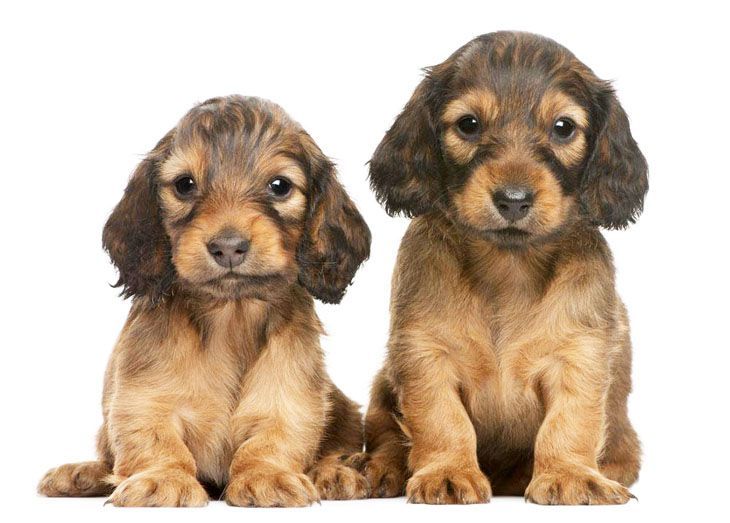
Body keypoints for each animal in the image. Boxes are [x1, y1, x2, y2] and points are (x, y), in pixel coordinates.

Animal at [37, 95, 370, 508]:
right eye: (184, 184)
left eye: (280, 186)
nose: (228, 246)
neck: (229, 317)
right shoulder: (141, 397)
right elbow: (154, 440)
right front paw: (162, 479)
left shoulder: (290, 398)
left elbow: (273, 440)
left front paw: (267, 476)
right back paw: (80, 473)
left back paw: (334, 473)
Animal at [356, 30, 644, 506]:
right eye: (469, 124)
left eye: (563, 127)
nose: (513, 199)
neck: (508, 267)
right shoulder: (424, 353)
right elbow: (442, 420)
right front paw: (448, 472)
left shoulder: (579, 356)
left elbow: (570, 422)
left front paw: (569, 474)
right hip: (382, 385)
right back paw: (374, 468)